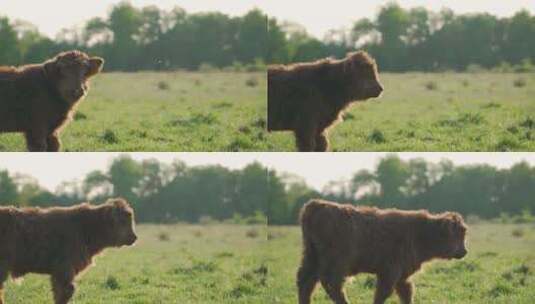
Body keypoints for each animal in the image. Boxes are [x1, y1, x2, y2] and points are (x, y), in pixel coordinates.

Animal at [0, 198, 137, 302]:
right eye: (122, 221)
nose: (134, 237)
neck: (86, 228)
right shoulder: (64, 269)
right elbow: (66, 292)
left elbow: (60, 292)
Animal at [298, 200, 468, 304]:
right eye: (458, 234)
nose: (465, 251)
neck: (419, 232)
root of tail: (317, 205)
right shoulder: (390, 272)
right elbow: (382, 293)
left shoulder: (402, 275)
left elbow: (407, 293)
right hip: (336, 262)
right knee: (331, 284)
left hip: (311, 257)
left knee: (305, 281)